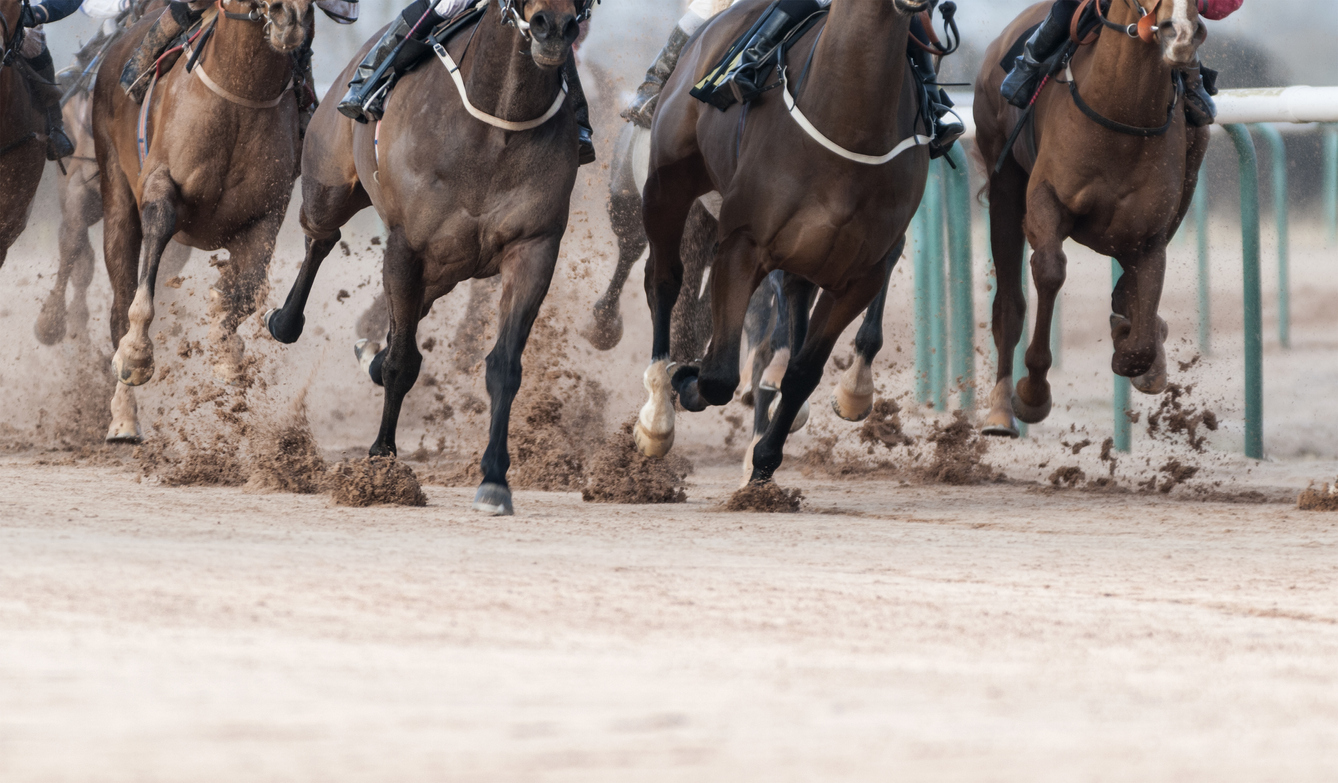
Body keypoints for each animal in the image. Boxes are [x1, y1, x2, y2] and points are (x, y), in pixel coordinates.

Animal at [94, 0, 313, 439]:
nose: (290, 17)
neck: (241, 94)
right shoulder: (160, 185)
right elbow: (156, 242)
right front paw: (136, 355)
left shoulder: (267, 213)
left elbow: (244, 290)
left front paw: (226, 347)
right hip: (116, 195)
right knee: (120, 301)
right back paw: (124, 417)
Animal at [266, 0, 586, 513]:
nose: (552, 26)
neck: (497, 122)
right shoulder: (406, 245)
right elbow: (400, 364)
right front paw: (382, 463)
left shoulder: (534, 247)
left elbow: (504, 365)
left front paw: (494, 479)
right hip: (329, 186)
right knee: (321, 239)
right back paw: (284, 320)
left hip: (445, 269)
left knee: (411, 313)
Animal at [634, 0, 931, 481]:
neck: (850, 123)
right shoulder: (742, 244)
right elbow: (717, 376)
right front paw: (688, 382)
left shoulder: (862, 271)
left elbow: (803, 371)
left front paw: (765, 460)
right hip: (667, 184)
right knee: (663, 280)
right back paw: (659, 414)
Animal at [974, 0, 1214, 433]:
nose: (1182, 35)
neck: (1121, 113)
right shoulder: (1045, 202)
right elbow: (1049, 271)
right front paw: (1032, 394)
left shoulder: (1150, 236)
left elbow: (1139, 343)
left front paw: (1139, 351)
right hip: (1003, 180)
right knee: (1009, 304)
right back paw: (1000, 409)